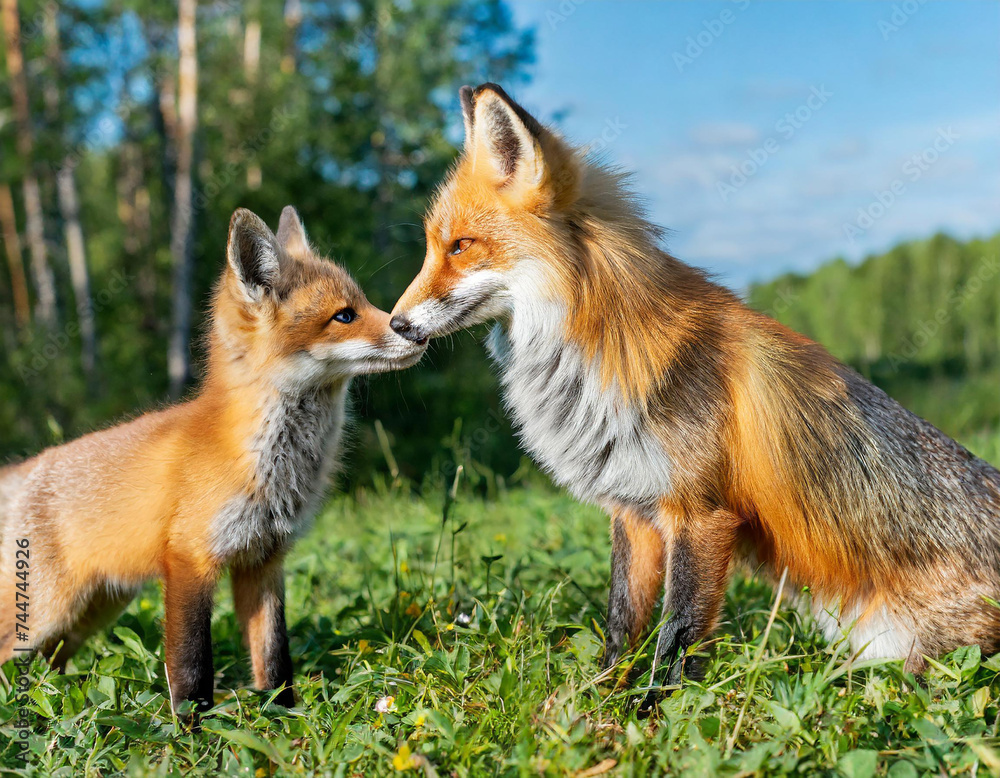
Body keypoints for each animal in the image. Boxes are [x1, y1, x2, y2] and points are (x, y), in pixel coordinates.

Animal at [0, 206, 426, 714]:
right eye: (344, 315)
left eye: (364, 303)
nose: (416, 331)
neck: (271, 465)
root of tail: (26, 469)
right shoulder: (190, 560)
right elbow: (191, 668)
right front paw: (190, 730)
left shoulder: (264, 560)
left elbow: (274, 658)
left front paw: (283, 716)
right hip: (47, 611)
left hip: (94, 610)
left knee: (51, 666)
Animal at [390, 83, 1000, 692]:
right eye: (432, 248)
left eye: (461, 246)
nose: (395, 325)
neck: (598, 349)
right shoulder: (633, 511)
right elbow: (621, 624)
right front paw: (598, 698)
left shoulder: (700, 515)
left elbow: (677, 636)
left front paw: (653, 709)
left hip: (895, 661)